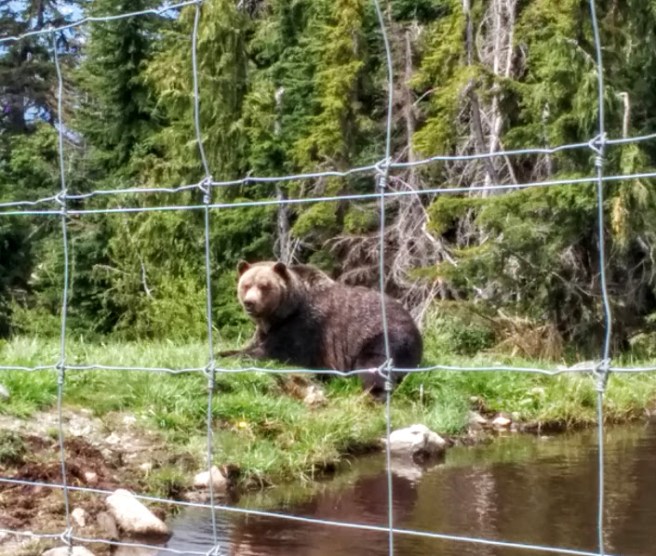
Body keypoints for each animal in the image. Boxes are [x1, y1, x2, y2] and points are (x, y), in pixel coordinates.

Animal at [217, 260, 423, 397]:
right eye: (246, 285)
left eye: (264, 286)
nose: (250, 303)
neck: (282, 314)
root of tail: (414, 324)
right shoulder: (266, 331)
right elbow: (250, 346)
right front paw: (224, 352)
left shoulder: (305, 328)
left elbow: (276, 353)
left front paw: (230, 357)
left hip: (383, 337)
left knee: (374, 368)